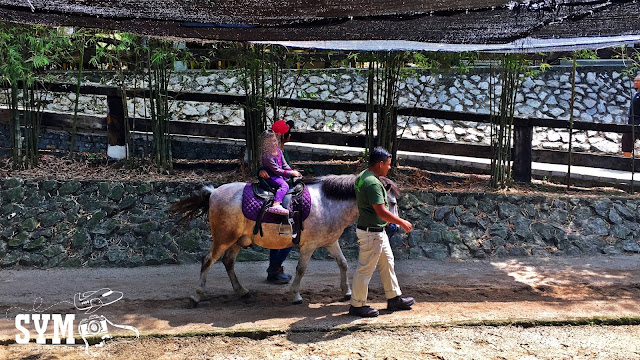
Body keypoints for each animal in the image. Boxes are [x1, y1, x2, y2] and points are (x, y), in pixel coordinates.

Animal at [170, 173, 400, 306]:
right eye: (392, 202)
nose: (395, 227)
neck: (328, 203)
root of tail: (213, 192)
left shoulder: (330, 242)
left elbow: (343, 264)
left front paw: (346, 291)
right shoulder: (309, 245)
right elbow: (301, 269)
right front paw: (295, 295)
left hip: (239, 239)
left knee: (228, 261)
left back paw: (242, 291)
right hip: (223, 238)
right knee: (208, 260)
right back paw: (197, 295)